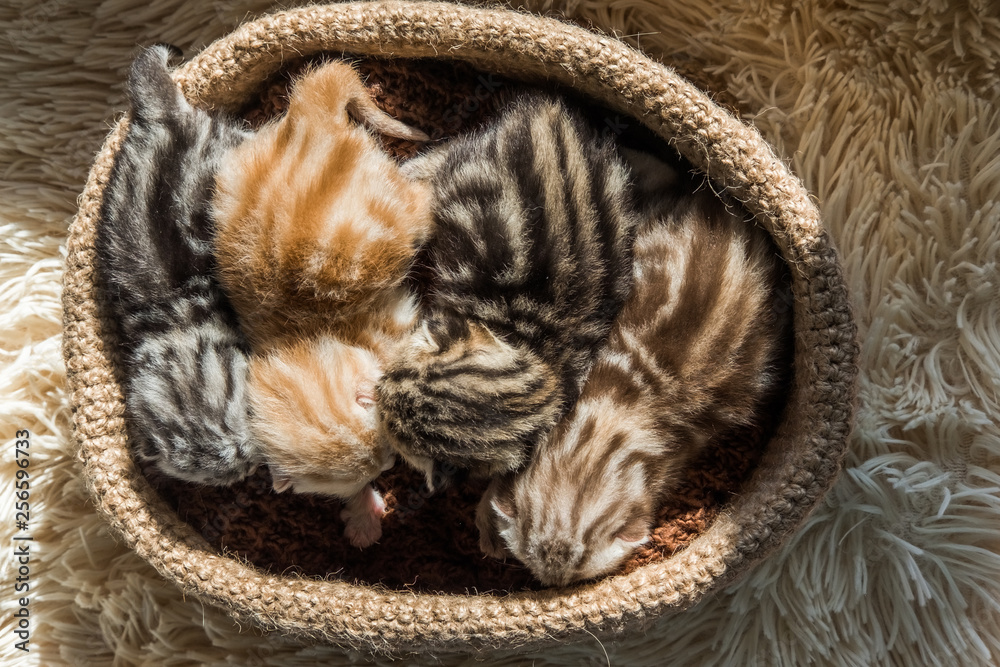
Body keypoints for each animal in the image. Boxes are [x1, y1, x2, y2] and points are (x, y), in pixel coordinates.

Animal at [213, 58, 432, 548]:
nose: (390, 467)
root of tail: (306, 119)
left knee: (422, 196)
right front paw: (365, 515)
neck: (305, 338)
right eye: (376, 467)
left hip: (396, 210)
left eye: (387, 452)